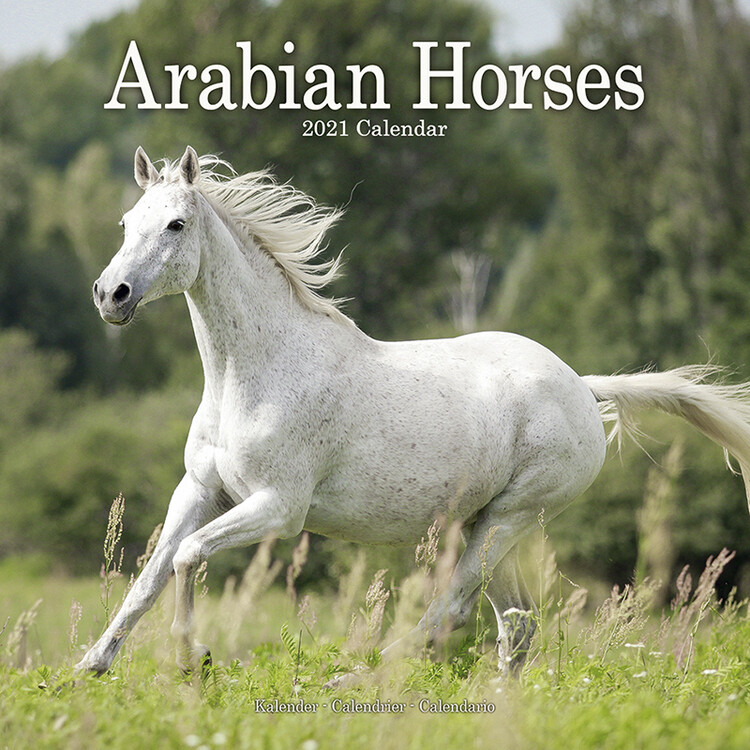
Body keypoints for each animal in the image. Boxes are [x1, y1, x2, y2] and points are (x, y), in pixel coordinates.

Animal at [78, 145, 750, 678]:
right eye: (126, 221)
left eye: (176, 224)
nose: (111, 295)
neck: (253, 374)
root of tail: (583, 388)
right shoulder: (198, 490)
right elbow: (150, 576)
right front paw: (90, 666)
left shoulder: (278, 508)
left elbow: (187, 558)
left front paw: (192, 658)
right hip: (493, 524)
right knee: (516, 623)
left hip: (510, 516)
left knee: (451, 611)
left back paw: (350, 680)